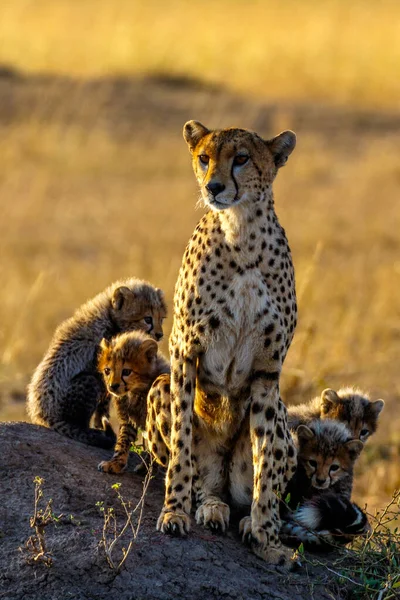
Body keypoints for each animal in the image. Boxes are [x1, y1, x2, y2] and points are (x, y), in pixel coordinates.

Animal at [157, 120, 300, 564]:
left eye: (241, 158)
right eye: (204, 157)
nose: (214, 187)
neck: (241, 232)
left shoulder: (269, 369)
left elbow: (265, 463)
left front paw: (268, 538)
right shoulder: (184, 350)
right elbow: (181, 441)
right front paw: (174, 511)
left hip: (287, 418)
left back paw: (245, 519)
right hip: (159, 386)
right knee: (205, 483)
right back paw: (209, 506)